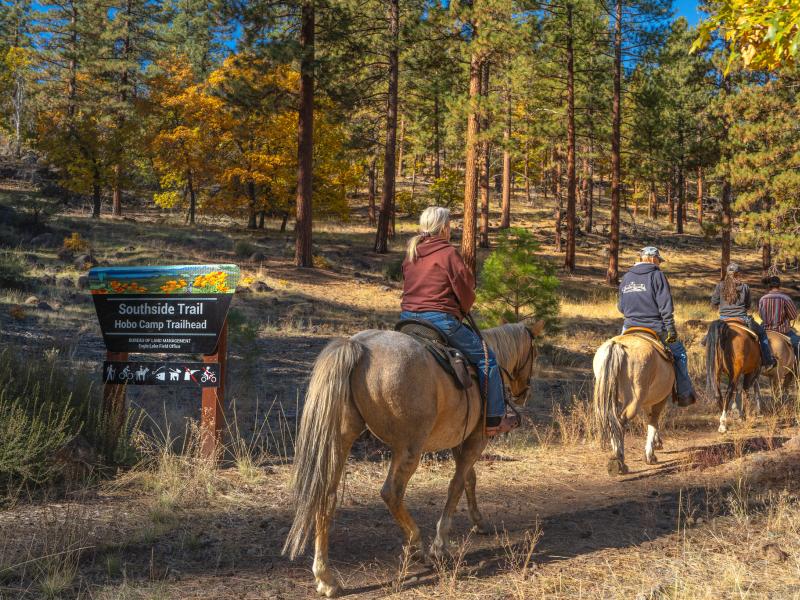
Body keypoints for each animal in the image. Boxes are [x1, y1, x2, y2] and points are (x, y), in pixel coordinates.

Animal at [282, 320, 544, 597]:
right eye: (534, 353)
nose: (523, 393)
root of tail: (358, 346)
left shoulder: (458, 441)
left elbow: (468, 480)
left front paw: (479, 521)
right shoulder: (476, 439)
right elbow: (456, 486)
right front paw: (441, 545)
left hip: (340, 439)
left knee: (326, 496)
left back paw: (326, 578)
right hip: (408, 449)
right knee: (392, 493)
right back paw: (418, 547)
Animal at [593, 333, 675, 476]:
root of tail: (617, 345)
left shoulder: (648, 401)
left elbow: (650, 419)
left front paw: (656, 444)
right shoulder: (660, 399)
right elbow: (653, 421)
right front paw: (650, 455)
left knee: (612, 421)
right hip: (634, 400)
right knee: (621, 421)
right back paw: (619, 460)